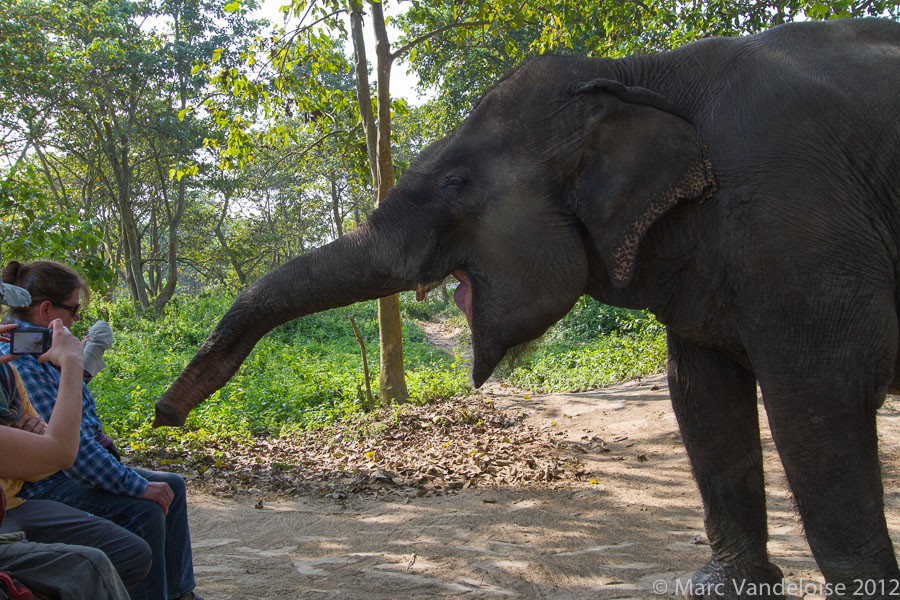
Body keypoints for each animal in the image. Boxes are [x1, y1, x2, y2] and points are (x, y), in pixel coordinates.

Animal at [156, 16, 900, 596]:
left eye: (455, 183)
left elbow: (817, 397)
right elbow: (702, 392)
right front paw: (725, 586)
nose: (165, 416)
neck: (636, 73)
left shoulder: (796, 220)